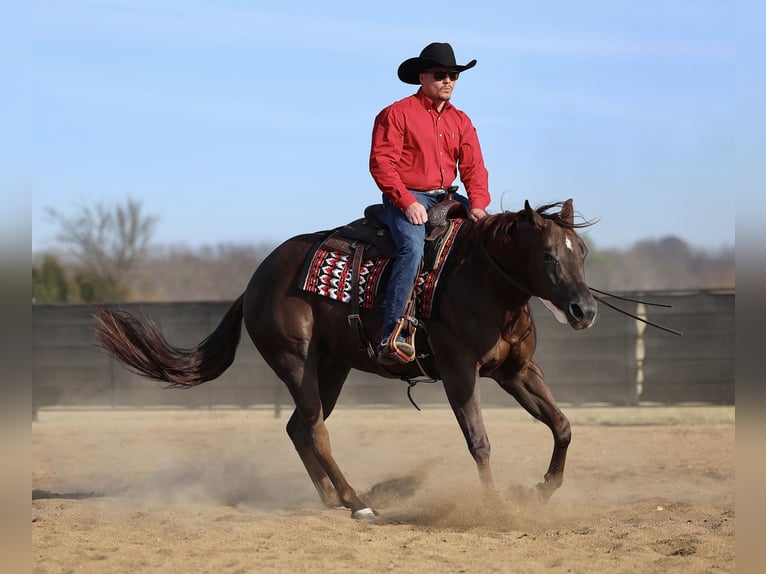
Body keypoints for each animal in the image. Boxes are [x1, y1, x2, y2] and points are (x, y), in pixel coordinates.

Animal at [95, 198, 597, 520]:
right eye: (548, 256)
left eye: (583, 254)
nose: (584, 310)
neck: (482, 282)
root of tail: (256, 281)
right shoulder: (460, 374)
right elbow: (480, 442)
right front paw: (494, 507)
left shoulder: (516, 371)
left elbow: (562, 425)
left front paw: (542, 490)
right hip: (296, 363)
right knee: (316, 431)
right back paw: (357, 502)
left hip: (332, 367)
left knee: (298, 428)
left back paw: (333, 498)